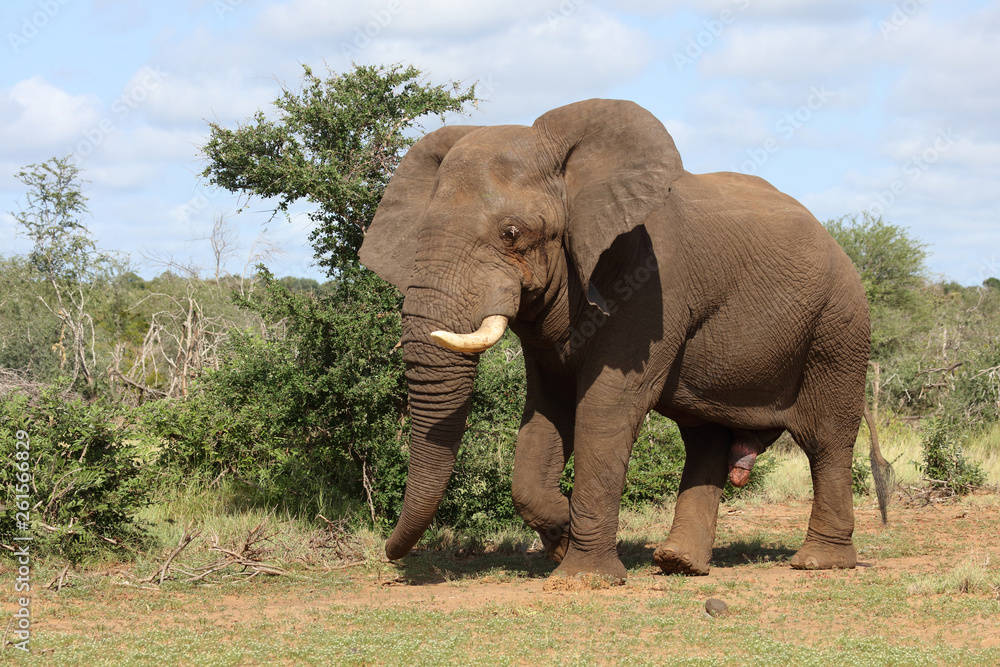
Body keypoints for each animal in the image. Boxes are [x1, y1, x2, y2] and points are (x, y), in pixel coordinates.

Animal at [360, 96, 892, 580]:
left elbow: (605, 410)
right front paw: (562, 534)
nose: (388, 553)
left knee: (827, 436)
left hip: (838, 326)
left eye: (511, 233)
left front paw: (583, 572)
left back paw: (818, 563)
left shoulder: (652, 283)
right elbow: (547, 412)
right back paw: (678, 564)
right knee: (706, 438)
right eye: (420, 234)